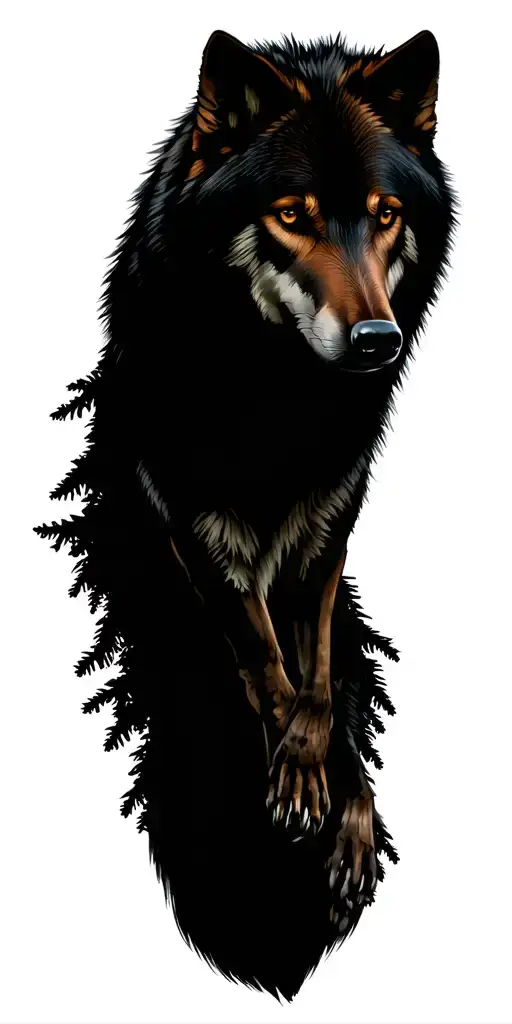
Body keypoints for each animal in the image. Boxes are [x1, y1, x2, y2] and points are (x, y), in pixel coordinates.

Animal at [36, 28, 456, 1001]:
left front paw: (334, 797)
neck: (277, 400)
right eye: (292, 213)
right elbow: (265, 659)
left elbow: (318, 675)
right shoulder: (192, 519)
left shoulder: (330, 521)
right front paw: (300, 786)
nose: (377, 342)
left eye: (385, 214)